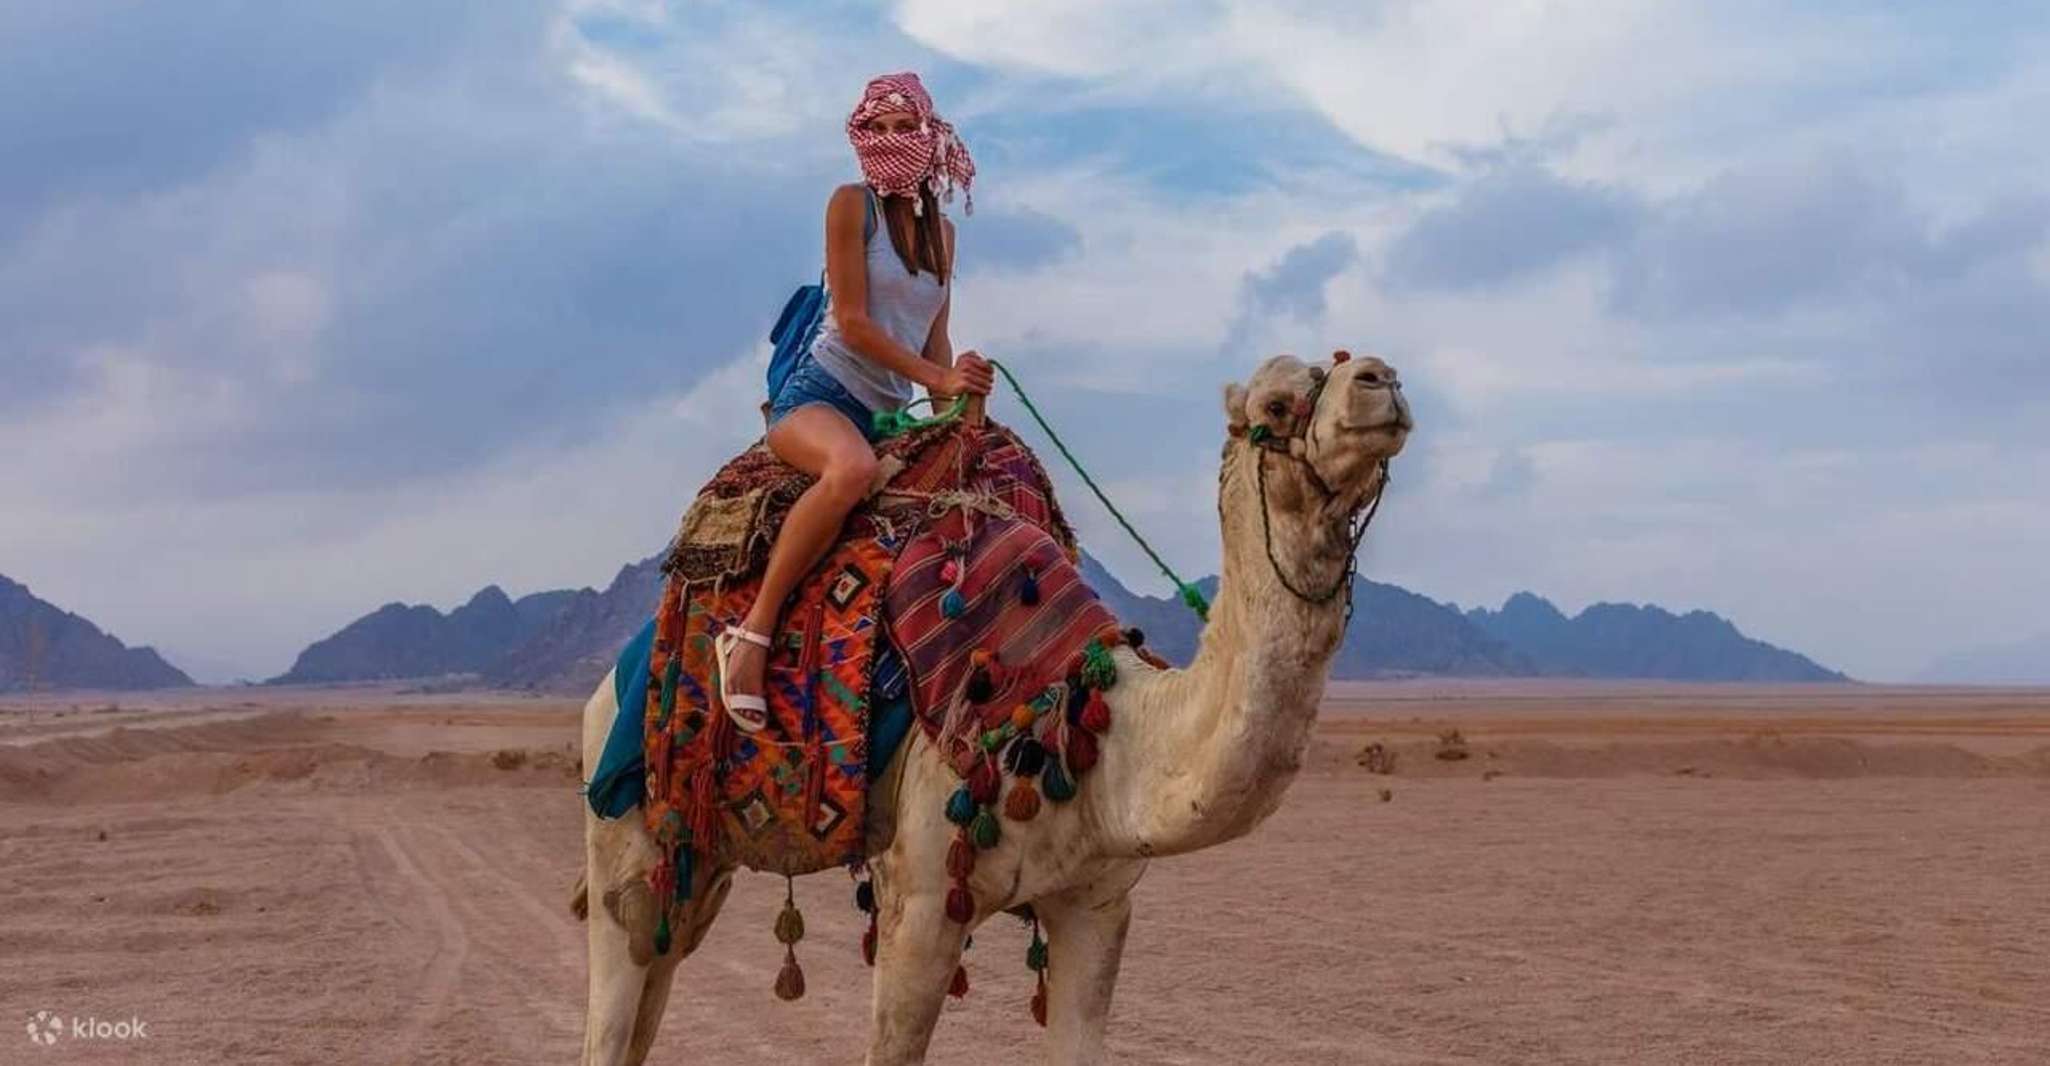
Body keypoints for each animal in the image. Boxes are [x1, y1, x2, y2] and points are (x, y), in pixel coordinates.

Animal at [576, 352, 1412, 1065]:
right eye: (1276, 402)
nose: (1384, 378)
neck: (1098, 726)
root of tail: (610, 682)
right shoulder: (918, 902)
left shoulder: (1097, 903)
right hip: (623, 835)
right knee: (613, 1006)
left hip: (698, 860)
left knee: (658, 974)